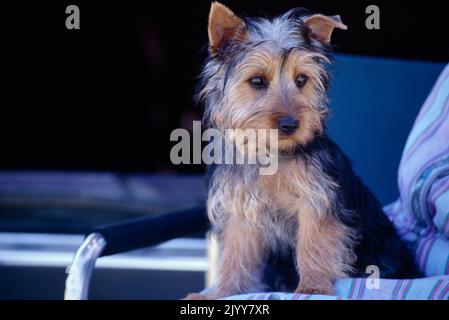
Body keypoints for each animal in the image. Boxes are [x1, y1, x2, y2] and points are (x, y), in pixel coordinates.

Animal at [186, 1, 416, 300]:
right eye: (257, 81)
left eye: (301, 79)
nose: (290, 124)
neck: (271, 153)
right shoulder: (240, 212)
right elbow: (235, 255)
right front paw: (223, 291)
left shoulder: (316, 199)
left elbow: (313, 243)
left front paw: (313, 286)